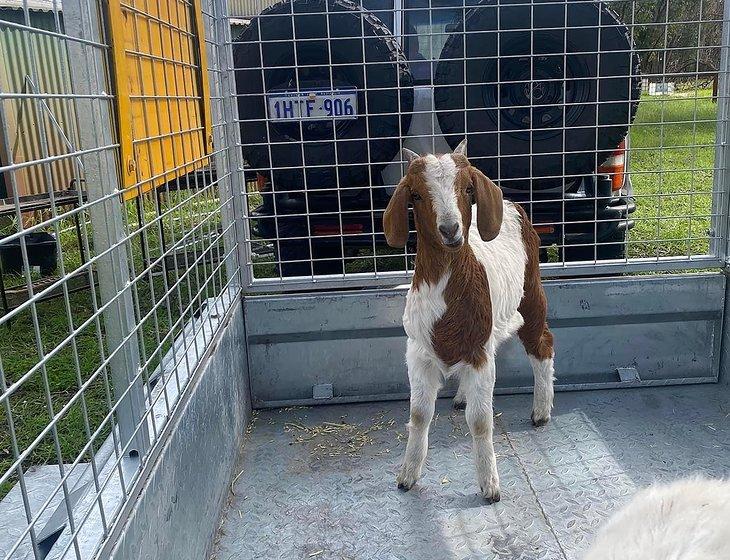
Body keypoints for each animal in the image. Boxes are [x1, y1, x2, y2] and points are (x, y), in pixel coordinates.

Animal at [382, 138, 552, 500]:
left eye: (467, 188)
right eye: (416, 194)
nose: (450, 229)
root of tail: (511, 204)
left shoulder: (478, 354)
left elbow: (480, 420)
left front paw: (490, 485)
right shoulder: (419, 352)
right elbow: (419, 414)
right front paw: (407, 475)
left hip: (531, 290)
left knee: (542, 343)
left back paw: (542, 411)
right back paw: (461, 396)